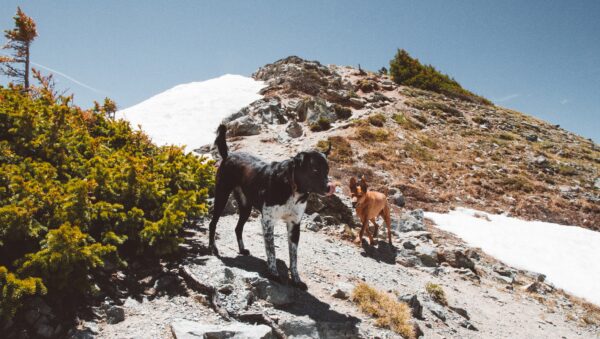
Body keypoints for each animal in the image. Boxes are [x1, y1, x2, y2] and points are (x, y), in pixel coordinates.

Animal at [209, 125, 336, 290]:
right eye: (315, 170)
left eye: (327, 170)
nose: (330, 187)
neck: (292, 186)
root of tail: (228, 155)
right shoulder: (268, 222)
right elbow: (271, 251)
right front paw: (274, 274)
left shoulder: (294, 225)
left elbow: (293, 257)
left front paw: (296, 280)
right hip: (222, 197)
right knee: (213, 223)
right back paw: (213, 248)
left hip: (245, 207)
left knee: (238, 228)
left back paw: (242, 250)